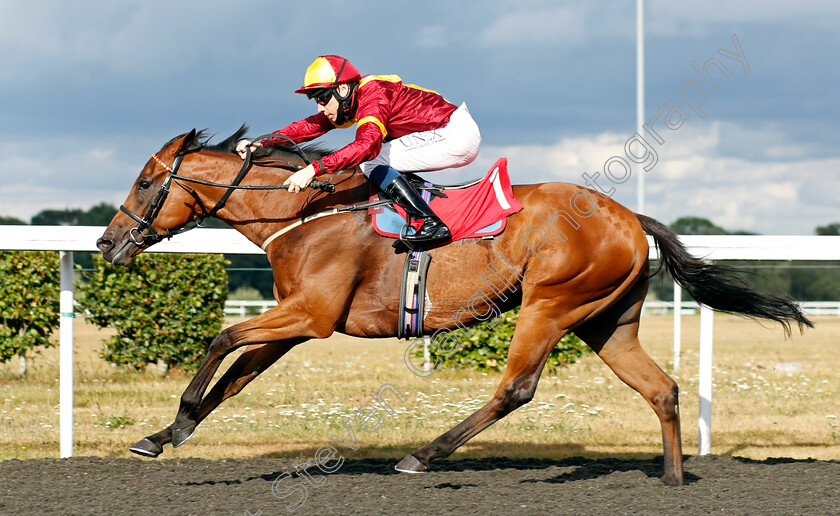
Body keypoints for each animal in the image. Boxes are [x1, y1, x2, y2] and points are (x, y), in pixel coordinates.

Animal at [95, 127, 812, 486]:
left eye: (147, 182)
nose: (106, 242)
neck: (304, 214)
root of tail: (631, 218)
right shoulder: (296, 322)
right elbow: (237, 376)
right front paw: (165, 435)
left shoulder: (312, 316)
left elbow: (221, 341)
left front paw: (176, 420)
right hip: (609, 321)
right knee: (661, 388)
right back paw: (672, 480)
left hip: (550, 303)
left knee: (516, 388)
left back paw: (423, 454)